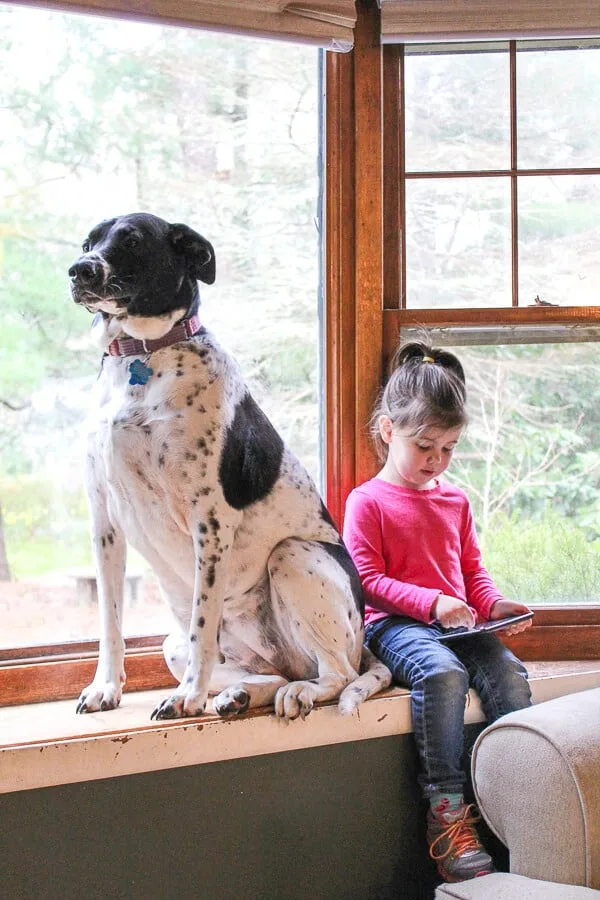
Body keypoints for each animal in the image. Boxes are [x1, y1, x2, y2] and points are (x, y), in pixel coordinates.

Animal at [69, 209, 394, 716]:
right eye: (89, 242)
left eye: (132, 241)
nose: (78, 270)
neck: (144, 358)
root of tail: (364, 646)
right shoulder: (104, 522)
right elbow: (111, 623)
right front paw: (105, 687)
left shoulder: (210, 522)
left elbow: (203, 625)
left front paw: (188, 696)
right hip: (173, 644)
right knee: (273, 672)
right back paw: (238, 695)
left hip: (294, 556)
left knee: (337, 674)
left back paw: (292, 692)